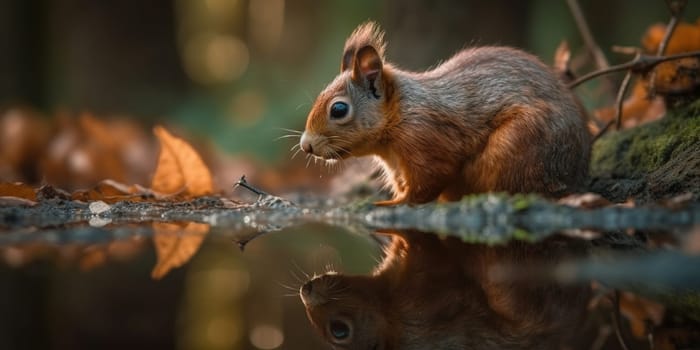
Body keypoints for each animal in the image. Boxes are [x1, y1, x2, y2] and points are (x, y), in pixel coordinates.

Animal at [300, 21, 592, 205]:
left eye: (339, 109)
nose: (306, 146)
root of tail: (574, 175)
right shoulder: (397, 167)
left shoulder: (426, 139)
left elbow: (430, 180)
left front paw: (390, 205)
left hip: (520, 144)